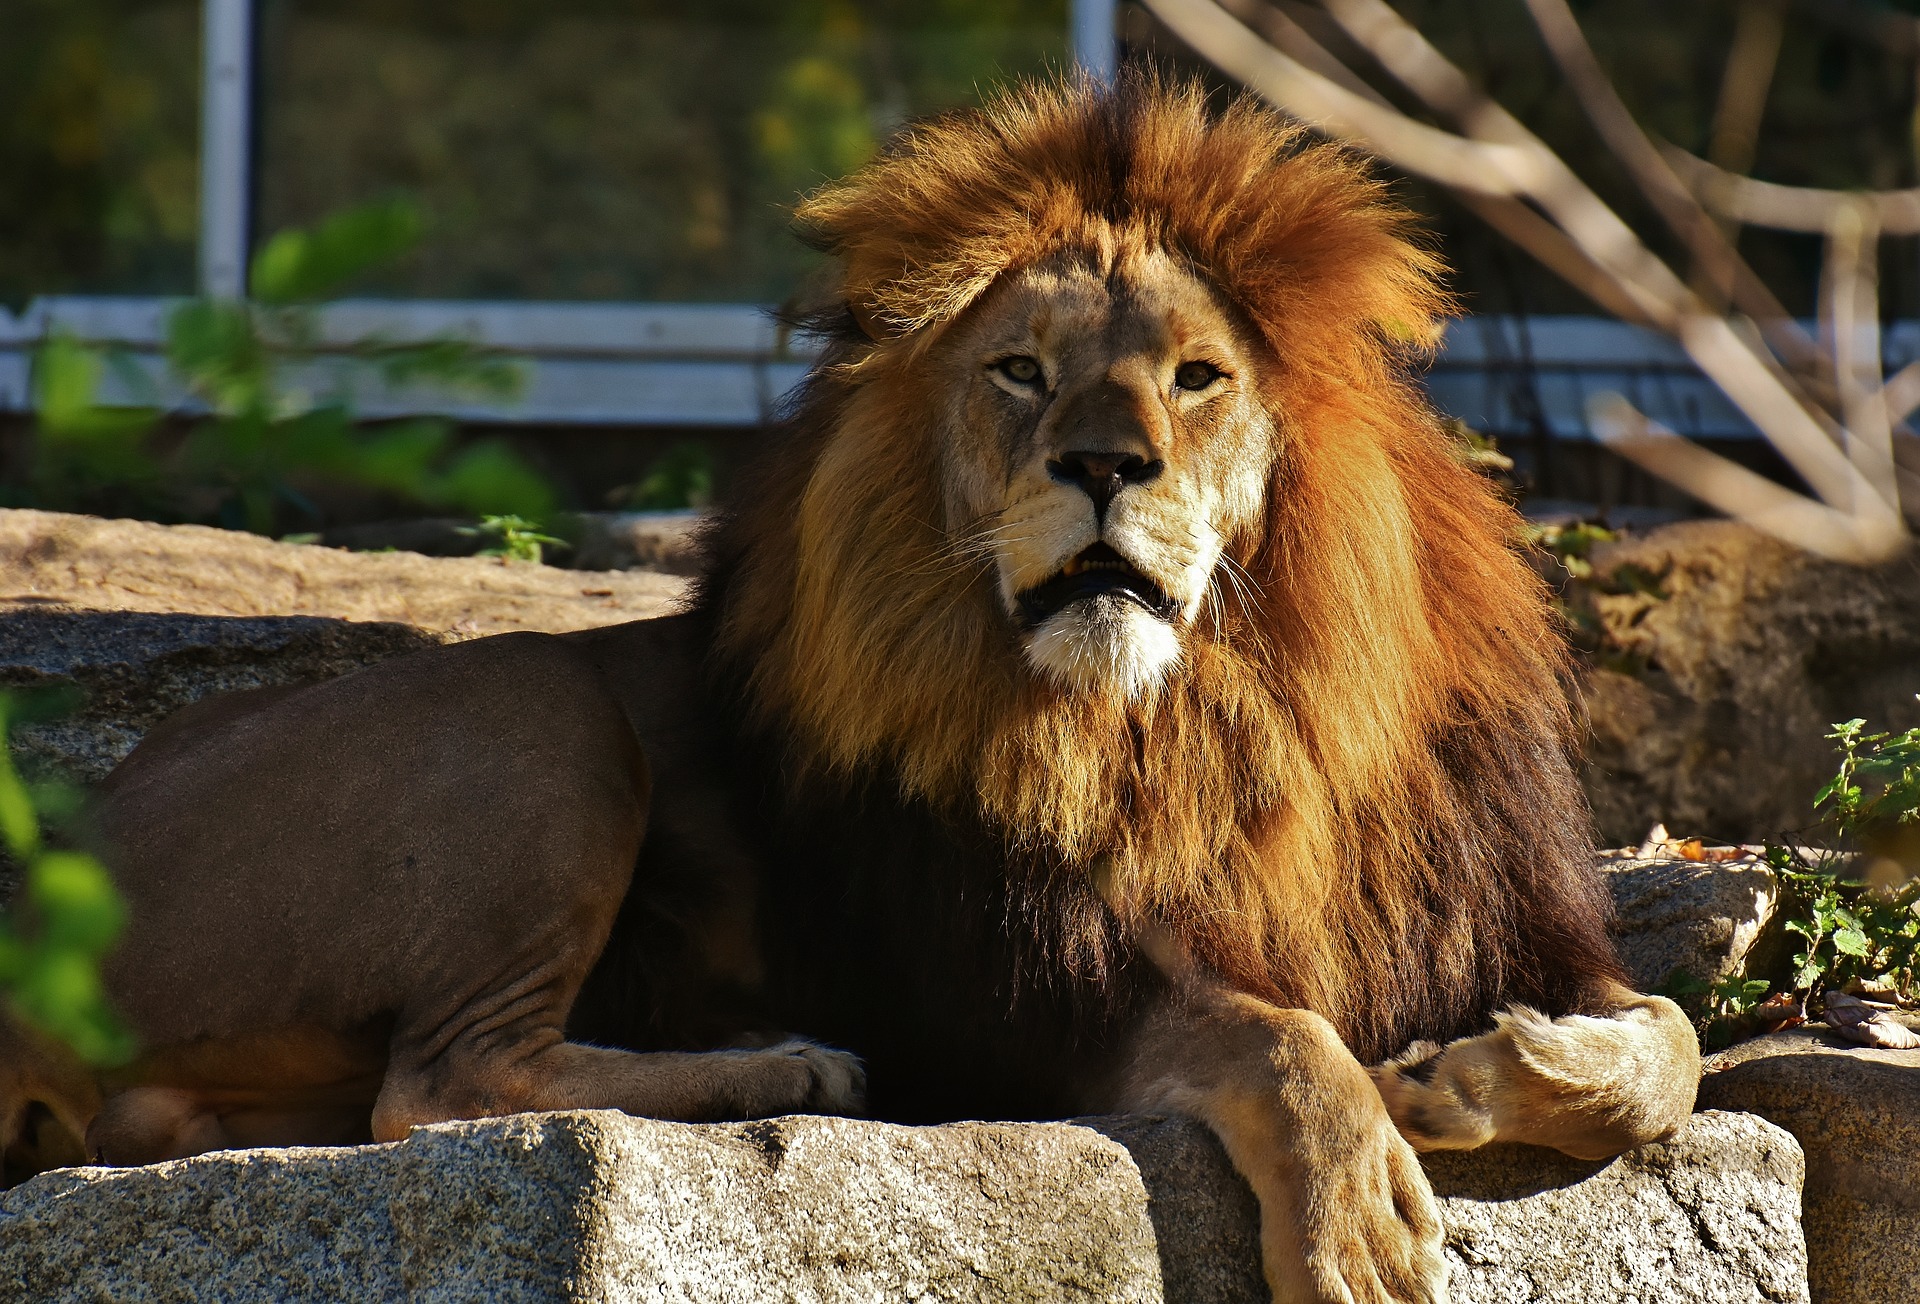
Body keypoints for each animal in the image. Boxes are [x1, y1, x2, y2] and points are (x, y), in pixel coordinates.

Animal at [7, 76, 1704, 1298]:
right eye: (1019, 372)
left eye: (1195, 376)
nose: (1104, 466)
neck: (1215, 717)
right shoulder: (1015, 998)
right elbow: (1276, 1033)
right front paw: (1362, 1216)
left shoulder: (1510, 915)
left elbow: (1670, 1042)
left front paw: (1488, 1069)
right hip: (537, 711)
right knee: (436, 1084)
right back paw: (790, 1066)